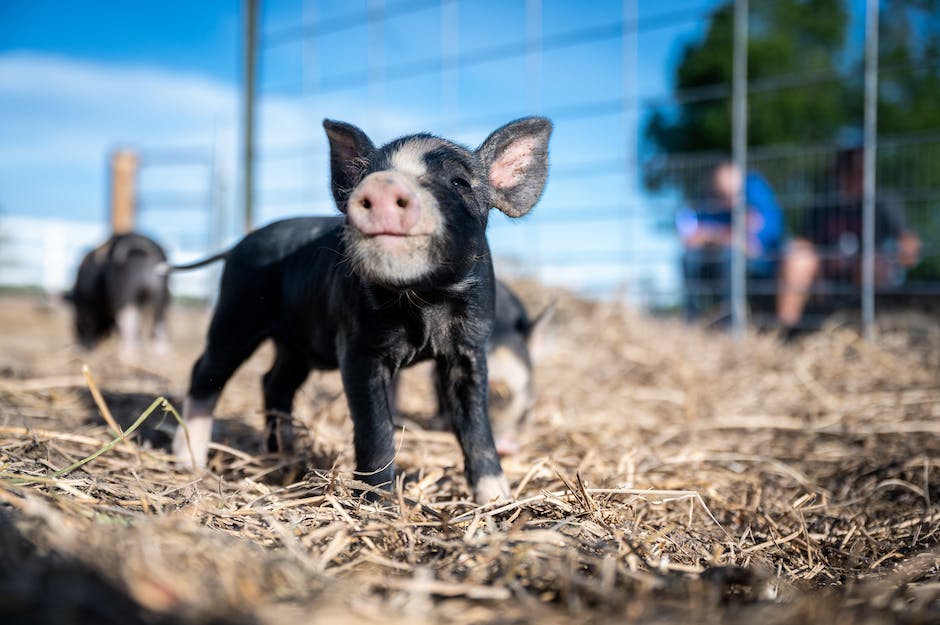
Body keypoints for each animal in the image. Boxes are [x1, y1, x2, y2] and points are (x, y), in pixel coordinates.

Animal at [173, 116, 552, 502]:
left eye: (458, 182)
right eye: (367, 176)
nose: (383, 184)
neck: (425, 302)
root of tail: (237, 245)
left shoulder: (471, 349)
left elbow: (475, 424)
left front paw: (498, 499)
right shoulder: (358, 348)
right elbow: (376, 429)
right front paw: (377, 501)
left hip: (295, 344)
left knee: (274, 382)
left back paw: (286, 459)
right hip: (236, 312)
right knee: (205, 372)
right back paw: (190, 462)